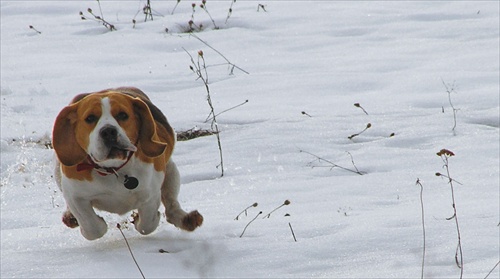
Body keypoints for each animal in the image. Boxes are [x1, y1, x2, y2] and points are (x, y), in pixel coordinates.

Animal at [53, 87, 203, 241]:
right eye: (90, 118)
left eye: (123, 115)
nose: (108, 131)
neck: (113, 169)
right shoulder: (75, 196)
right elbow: (93, 227)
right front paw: (92, 225)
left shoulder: (150, 194)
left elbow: (147, 224)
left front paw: (138, 220)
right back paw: (70, 217)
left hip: (171, 171)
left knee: (171, 206)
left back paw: (187, 219)